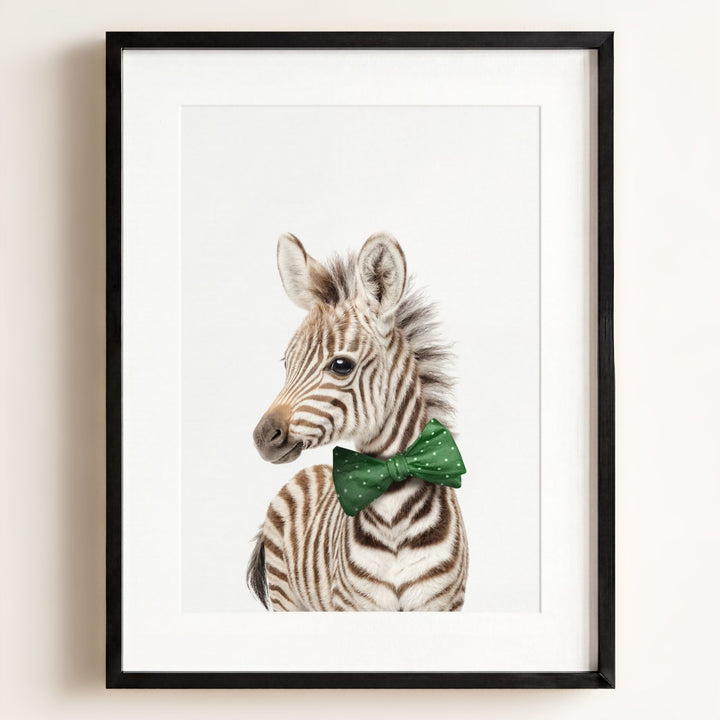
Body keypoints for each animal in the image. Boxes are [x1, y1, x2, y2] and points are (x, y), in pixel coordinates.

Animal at [247, 231, 469, 611]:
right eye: (287, 362)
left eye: (341, 365)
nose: (263, 436)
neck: (394, 515)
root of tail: (308, 471)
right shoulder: (354, 605)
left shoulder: (443, 604)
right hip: (286, 596)